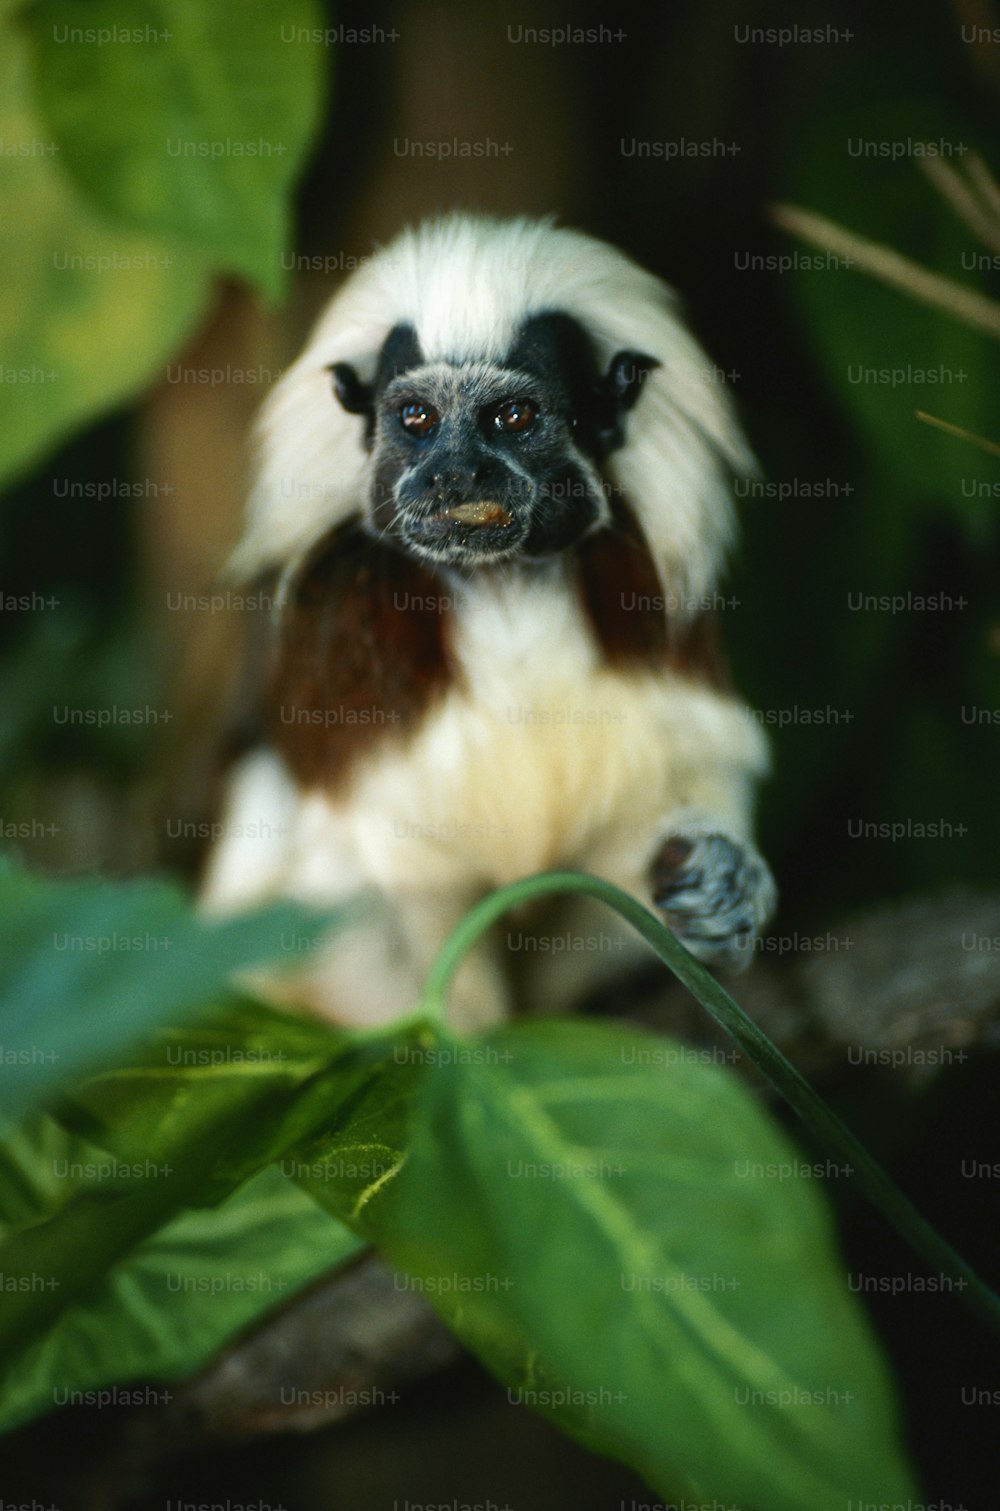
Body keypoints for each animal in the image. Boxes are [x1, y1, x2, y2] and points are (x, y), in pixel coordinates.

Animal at [203, 213, 779, 1033]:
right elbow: (383, 898)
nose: (453, 475)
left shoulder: (650, 627)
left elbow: (673, 791)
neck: (504, 592)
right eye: (417, 419)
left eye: (513, 417)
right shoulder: (348, 672)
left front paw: (722, 879)